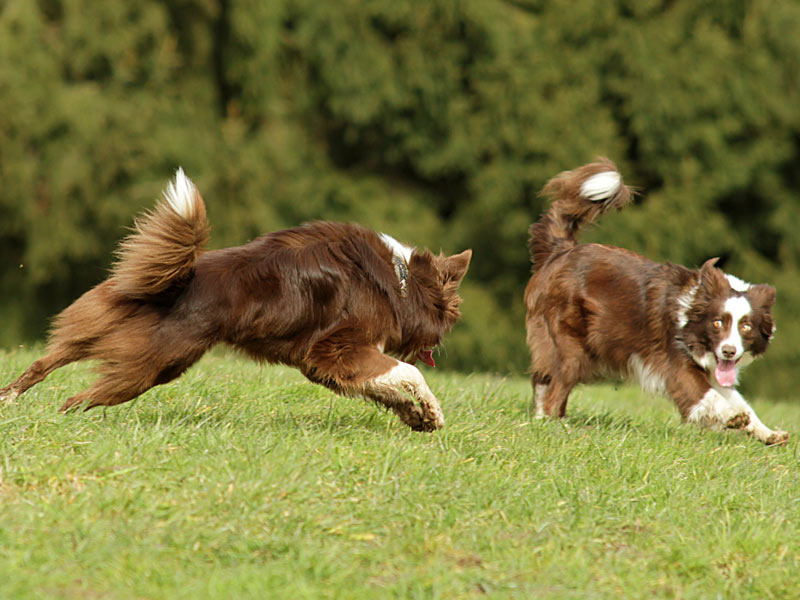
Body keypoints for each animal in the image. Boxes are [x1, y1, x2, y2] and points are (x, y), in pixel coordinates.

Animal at [0, 169, 472, 432]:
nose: (441, 345)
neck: (401, 279)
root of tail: (177, 278)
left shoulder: (329, 365)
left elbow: (387, 387)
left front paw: (418, 419)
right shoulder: (335, 350)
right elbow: (408, 372)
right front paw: (432, 412)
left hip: (104, 330)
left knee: (45, 362)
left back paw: (8, 400)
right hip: (151, 366)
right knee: (75, 399)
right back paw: (61, 418)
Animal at [524, 159, 788, 446]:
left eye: (746, 327)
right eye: (718, 323)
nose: (729, 351)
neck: (691, 313)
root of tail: (560, 251)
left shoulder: (711, 364)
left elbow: (739, 400)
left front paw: (768, 432)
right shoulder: (675, 362)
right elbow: (705, 395)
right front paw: (732, 417)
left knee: (543, 378)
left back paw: (541, 420)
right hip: (571, 343)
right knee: (557, 384)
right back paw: (558, 425)